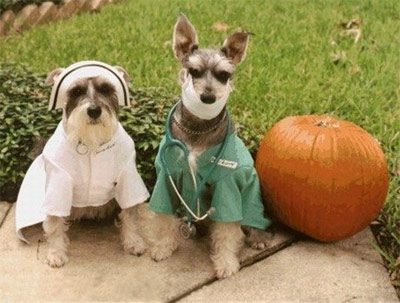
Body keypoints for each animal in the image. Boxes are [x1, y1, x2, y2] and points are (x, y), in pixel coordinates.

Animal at [148, 14, 274, 280]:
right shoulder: (166, 178)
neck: (198, 128)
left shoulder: (227, 187)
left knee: (253, 221)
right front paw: (163, 246)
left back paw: (258, 237)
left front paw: (225, 263)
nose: (208, 97)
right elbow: (163, 217)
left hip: (251, 196)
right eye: (193, 71)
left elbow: (227, 231)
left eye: (224, 75)